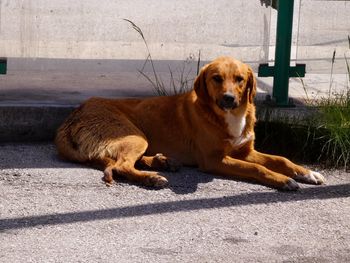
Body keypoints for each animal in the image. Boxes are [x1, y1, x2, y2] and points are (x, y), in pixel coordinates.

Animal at [55, 56, 326, 191]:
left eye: (240, 79)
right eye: (216, 78)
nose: (229, 98)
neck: (227, 116)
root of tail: (68, 121)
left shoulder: (245, 151)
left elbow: (281, 159)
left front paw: (306, 172)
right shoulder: (215, 160)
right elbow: (257, 168)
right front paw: (283, 181)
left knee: (117, 161)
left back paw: (163, 162)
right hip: (135, 135)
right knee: (120, 165)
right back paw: (152, 178)